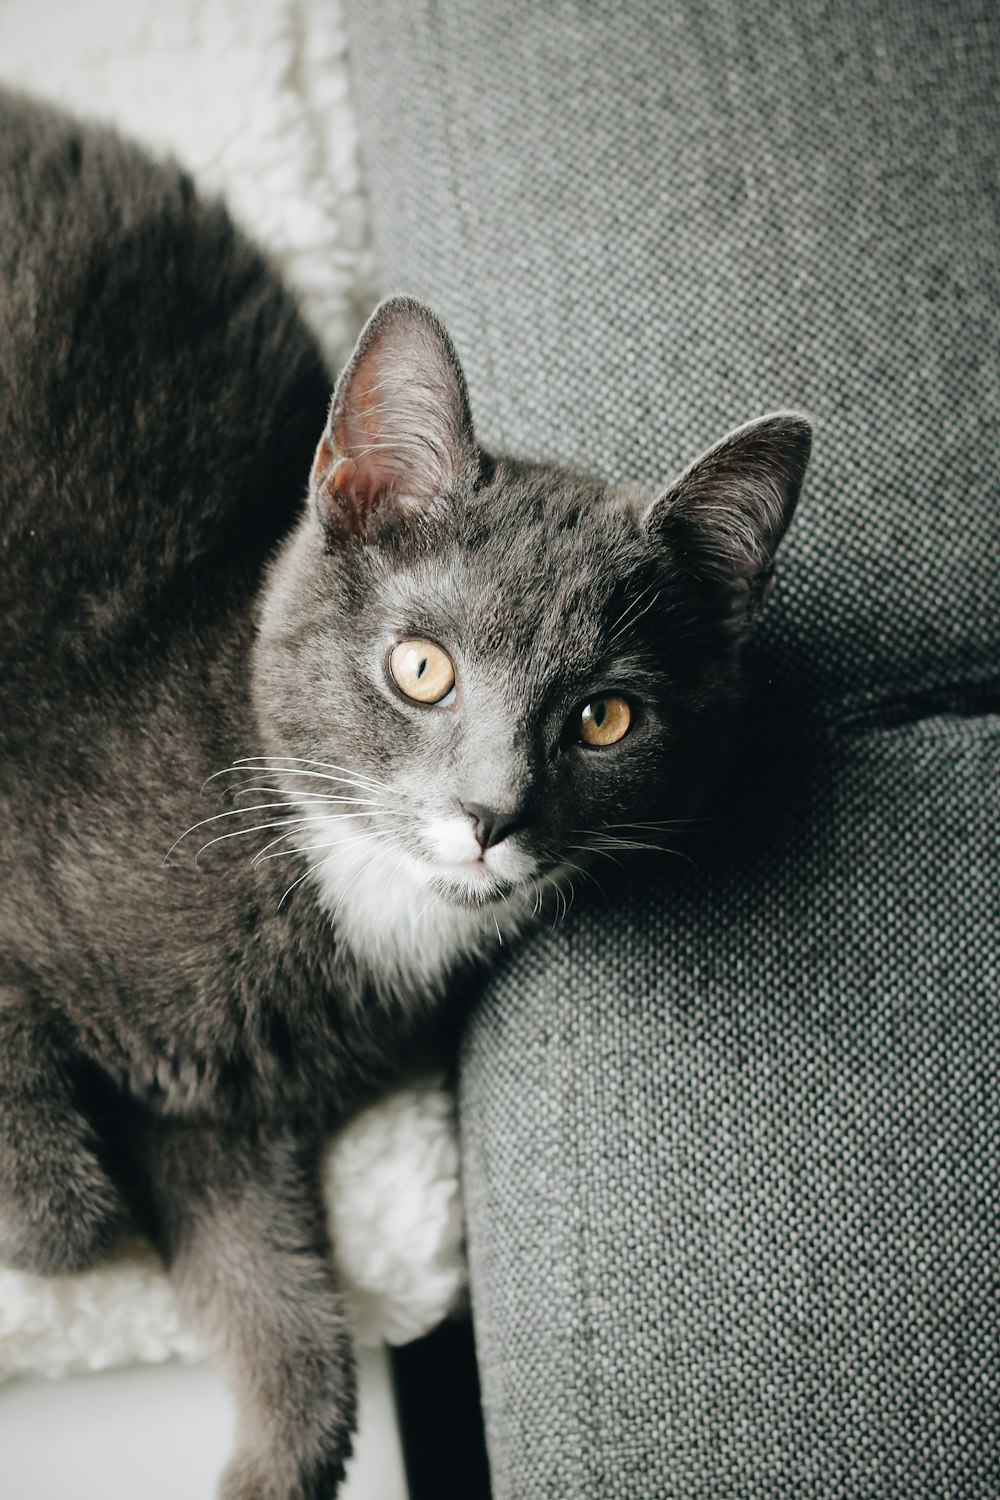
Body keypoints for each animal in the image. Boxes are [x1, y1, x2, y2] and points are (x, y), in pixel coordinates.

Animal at [0, 93, 815, 1500]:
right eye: (421, 668)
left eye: (606, 717)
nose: (490, 814)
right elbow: (61, 1200)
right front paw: (62, 1204)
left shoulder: (226, 1117)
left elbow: (291, 1324)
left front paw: (271, 1465)